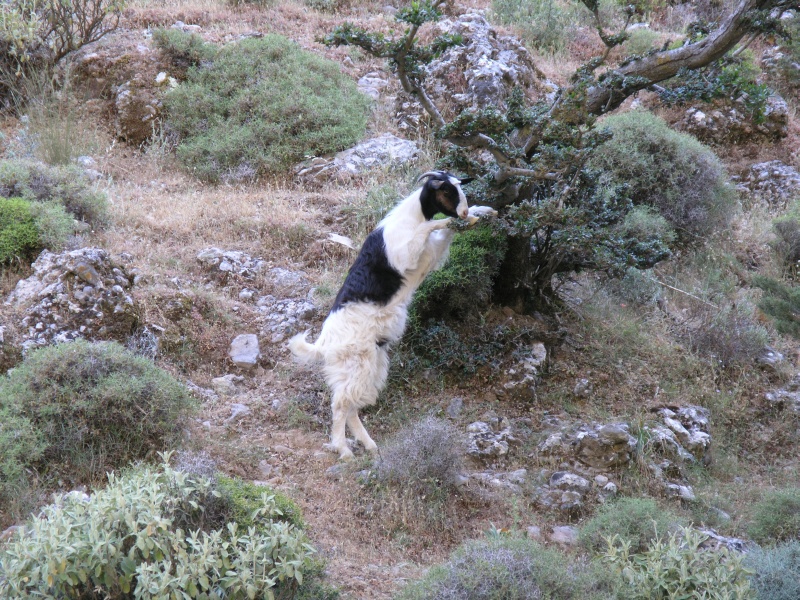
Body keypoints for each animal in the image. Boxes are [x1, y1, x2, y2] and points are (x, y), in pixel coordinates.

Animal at [290, 169, 496, 460]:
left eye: (460, 187)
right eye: (447, 190)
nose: (464, 212)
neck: (411, 217)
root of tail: (323, 344)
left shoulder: (431, 254)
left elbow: (444, 232)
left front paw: (485, 211)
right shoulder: (407, 254)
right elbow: (431, 227)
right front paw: (459, 218)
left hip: (371, 366)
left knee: (351, 406)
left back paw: (369, 445)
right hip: (357, 364)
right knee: (341, 405)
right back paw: (344, 450)